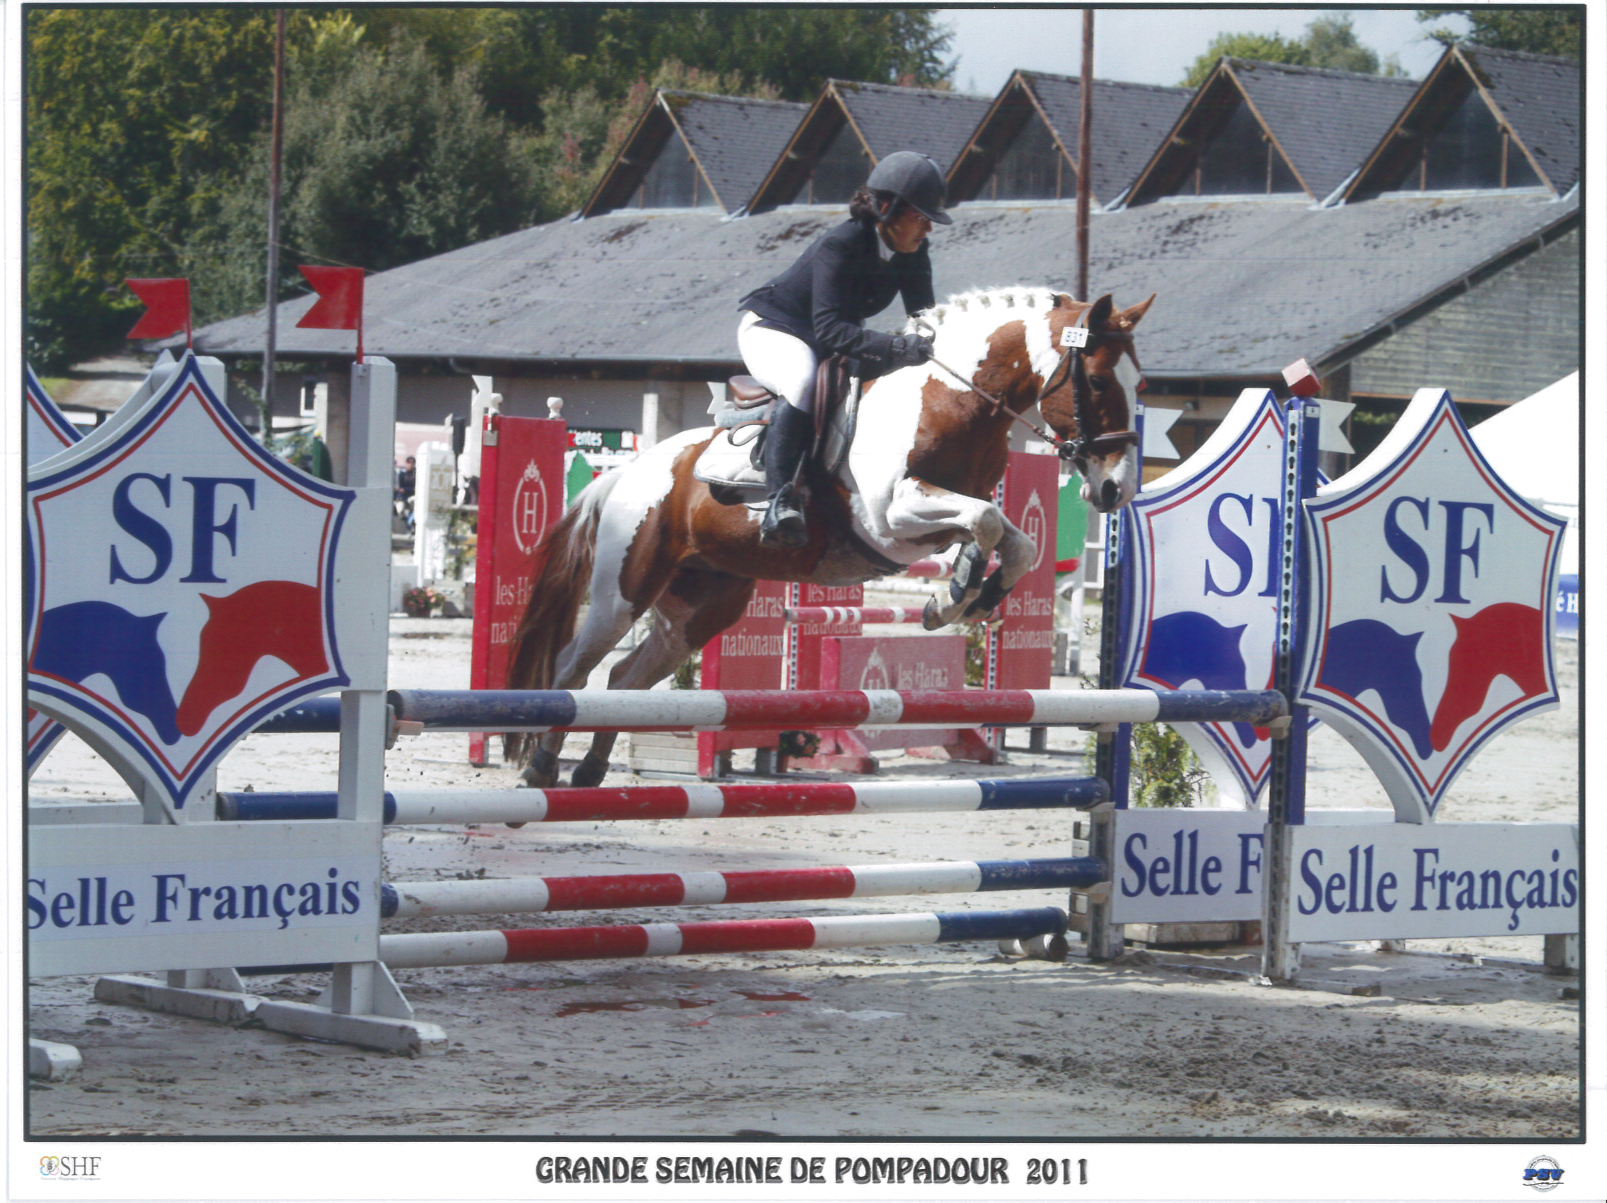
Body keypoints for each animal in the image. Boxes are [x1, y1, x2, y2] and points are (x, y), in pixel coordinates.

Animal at [507, 289, 1150, 787]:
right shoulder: (893, 521)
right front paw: (957, 596)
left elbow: (1015, 541)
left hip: (702, 606)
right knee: (572, 669)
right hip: (624, 590)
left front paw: (965, 598)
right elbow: (988, 522)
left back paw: (590, 768)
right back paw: (541, 766)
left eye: (1139, 383)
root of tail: (624, 473)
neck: (952, 398)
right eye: (1097, 380)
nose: (1116, 488)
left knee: (625, 678)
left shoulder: (938, 519)